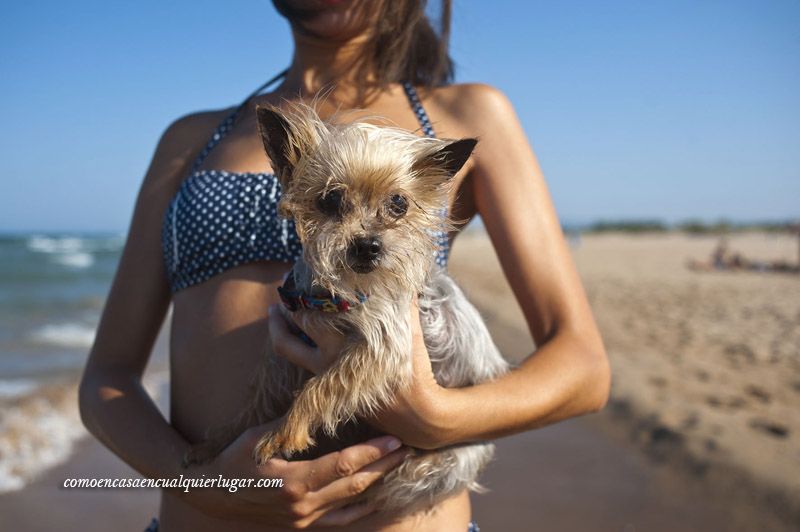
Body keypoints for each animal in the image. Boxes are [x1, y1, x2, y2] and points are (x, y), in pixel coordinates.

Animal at [185, 102, 510, 512]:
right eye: (331, 199)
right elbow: (257, 399)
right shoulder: (288, 347)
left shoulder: (381, 347)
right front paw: (217, 442)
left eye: (399, 203)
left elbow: (319, 387)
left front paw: (285, 432)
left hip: (428, 468)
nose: (368, 246)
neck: (331, 293)